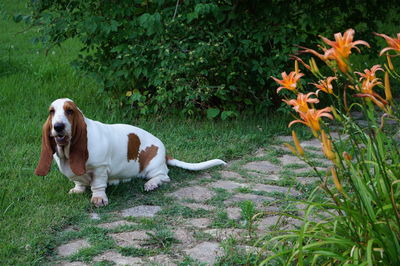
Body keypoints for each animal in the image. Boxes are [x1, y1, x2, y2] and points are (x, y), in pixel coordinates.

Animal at [35, 98, 227, 207]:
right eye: (52, 112)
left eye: (69, 111)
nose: (58, 127)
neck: (68, 150)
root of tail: (165, 152)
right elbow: (79, 182)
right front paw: (78, 189)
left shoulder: (100, 169)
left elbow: (98, 185)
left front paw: (98, 199)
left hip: (152, 167)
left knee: (164, 176)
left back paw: (151, 184)